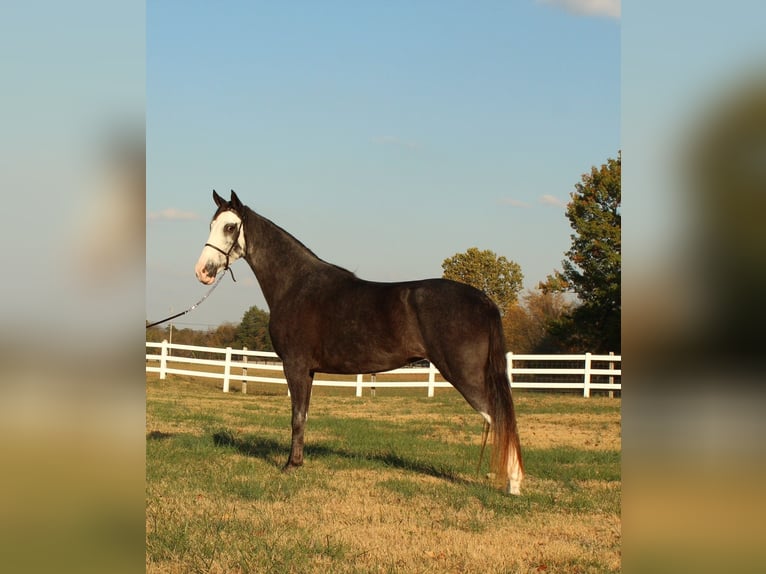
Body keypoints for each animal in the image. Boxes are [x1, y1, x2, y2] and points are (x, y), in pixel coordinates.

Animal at [195, 190, 524, 496]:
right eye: (211, 225)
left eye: (229, 227)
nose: (203, 271)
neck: (296, 285)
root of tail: (484, 300)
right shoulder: (309, 371)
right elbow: (304, 414)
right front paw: (298, 462)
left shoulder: (295, 365)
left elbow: (296, 417)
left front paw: (290, 465)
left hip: (466, 375)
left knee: (499, 418)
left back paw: (514, 484)